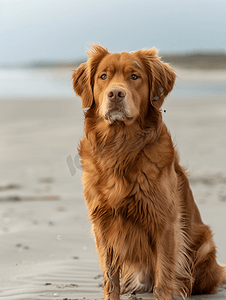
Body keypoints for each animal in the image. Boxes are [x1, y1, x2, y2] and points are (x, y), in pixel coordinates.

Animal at [71, 45, 225, 300]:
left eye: (135, 76)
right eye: (103, 76)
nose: (115, 94)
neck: (120, 146)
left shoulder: (165, 222)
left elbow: (164, 278)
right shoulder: (102, 222)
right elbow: (110, 278)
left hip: (204, 247)